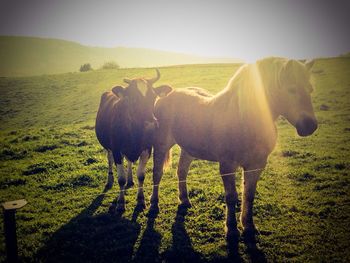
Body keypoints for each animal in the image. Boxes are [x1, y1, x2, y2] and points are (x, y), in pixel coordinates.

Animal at [95, 69, 172, 213]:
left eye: (153, 97)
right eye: (133, 99)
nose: (151, 124)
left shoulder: (147, 149)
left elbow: (141, 175)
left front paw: (141, 200)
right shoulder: (116, 150)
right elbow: (121, 179)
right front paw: (120, 203)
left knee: (129, 162)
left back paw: (130, 180)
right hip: (108, 147)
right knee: (109, 160)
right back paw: (109, 180)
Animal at [149, 57, 318, 241]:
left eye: (310, 89)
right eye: (291, 89)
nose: (310, 126)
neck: (244, 120)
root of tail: (168, 94)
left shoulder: (256, 165)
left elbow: (249, 195)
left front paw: (249, 226)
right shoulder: (227, 166)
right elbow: (231, 197)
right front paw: (231, 230)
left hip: (188, 148)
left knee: (181, 172)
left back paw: (185, 200)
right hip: (161, 144)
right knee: (157, 174)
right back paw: (154, 205)